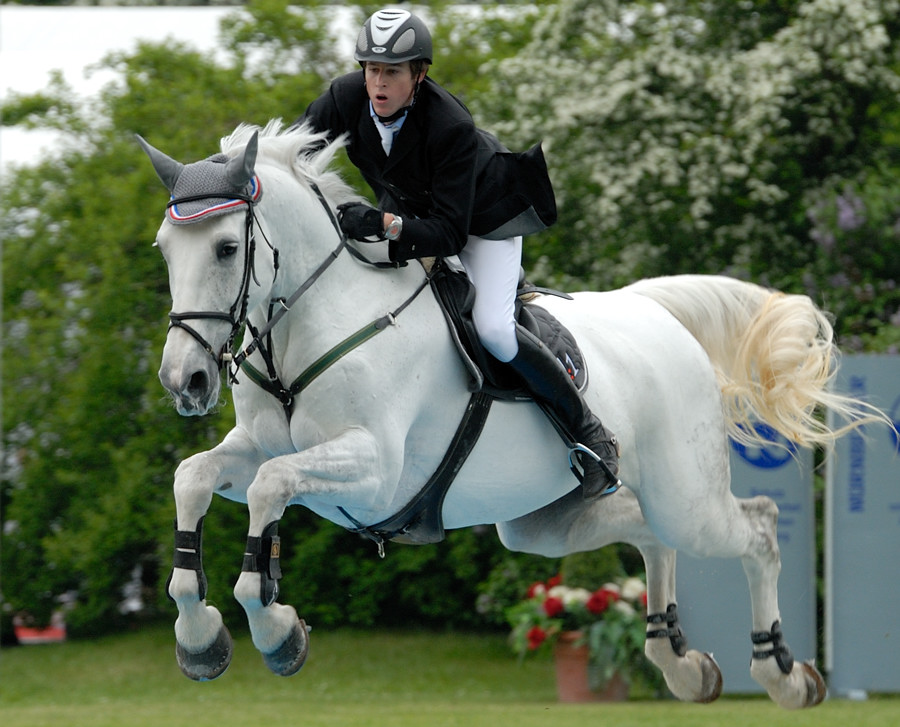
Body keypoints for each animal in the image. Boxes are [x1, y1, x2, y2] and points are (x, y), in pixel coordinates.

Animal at [140, 120, 878, 708]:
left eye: (227, 248)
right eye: (166, 250)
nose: (185, 380)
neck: (311, 324)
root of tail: (653, 311)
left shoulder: (375, 472)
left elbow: (270, 490)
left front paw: (275, 630)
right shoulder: (259, 449)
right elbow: (194, 477)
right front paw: (200, 638)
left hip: (687, 498)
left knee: (757, 527)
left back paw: (782, 673)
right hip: (541, 525)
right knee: (647, 530)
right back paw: (680, 661)